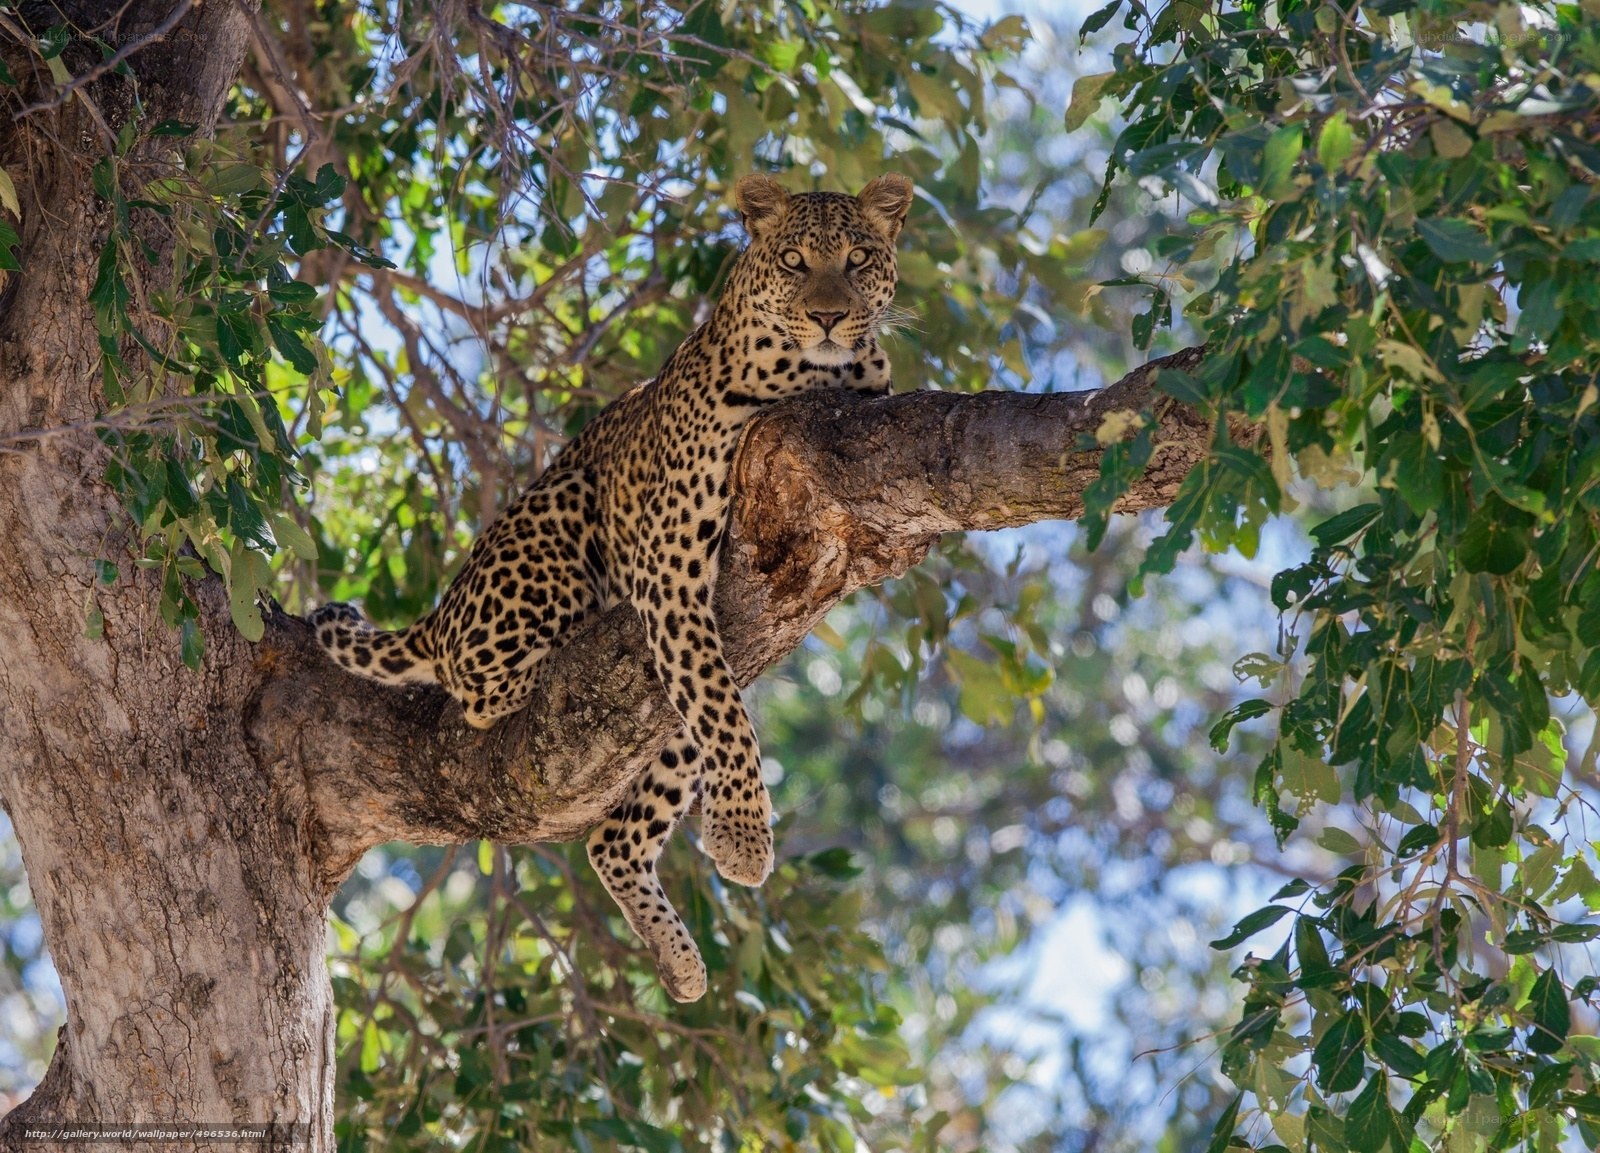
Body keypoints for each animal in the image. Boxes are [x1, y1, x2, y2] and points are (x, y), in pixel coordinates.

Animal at [310, 173, 913, 1003]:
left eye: (858, 259)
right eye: (794, 261)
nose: (827, 315)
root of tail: (442, 608)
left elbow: (722, 710)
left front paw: (734, 836)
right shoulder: (668, 565)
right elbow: (727, 715)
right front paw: (743, 836)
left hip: (665, 719)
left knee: (615, 835)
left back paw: (678, 960)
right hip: (554, 538)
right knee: (482, 688)